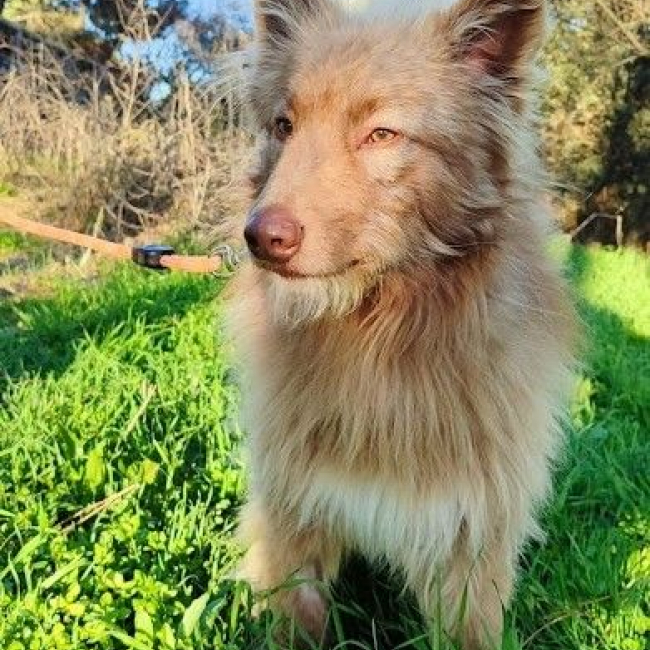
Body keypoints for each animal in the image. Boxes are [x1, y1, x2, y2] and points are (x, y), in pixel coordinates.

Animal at [225, 0, 577, 647]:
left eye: (382, 134)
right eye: (284, 126)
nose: (261, 237)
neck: (378, 329)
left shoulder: (470, 537)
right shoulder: (294, 511)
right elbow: (298, 613)